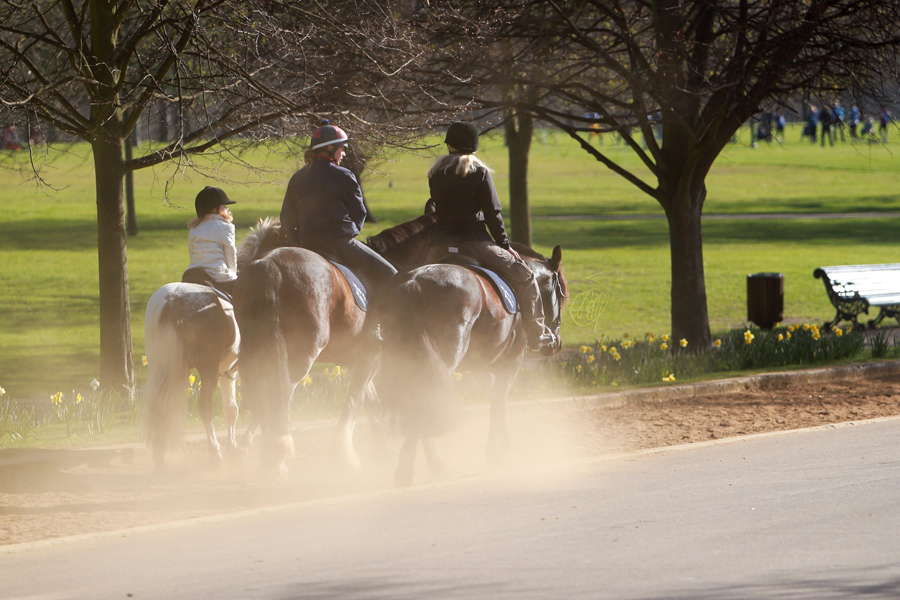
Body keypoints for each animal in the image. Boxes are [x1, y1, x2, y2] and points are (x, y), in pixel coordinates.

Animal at [142, 284, 239, 466]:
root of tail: (173, 297)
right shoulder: (229, 370)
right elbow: (232, 408)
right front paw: (233, 448)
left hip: (160, 364)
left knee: (159, 404)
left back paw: (159, 457)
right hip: (208, 369)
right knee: (205, 406)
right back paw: (214, 451)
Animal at [376, 246, 568, 486]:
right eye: (562, 295)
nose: (556, 344)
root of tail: (414, 283)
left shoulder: (480, 368)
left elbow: (493, 401)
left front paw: (495, 452)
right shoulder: (511, 362)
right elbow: (499, 404)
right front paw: (503, 454)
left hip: (406, 361)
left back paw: (428, 464)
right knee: (426, 401)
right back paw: (410, 466)